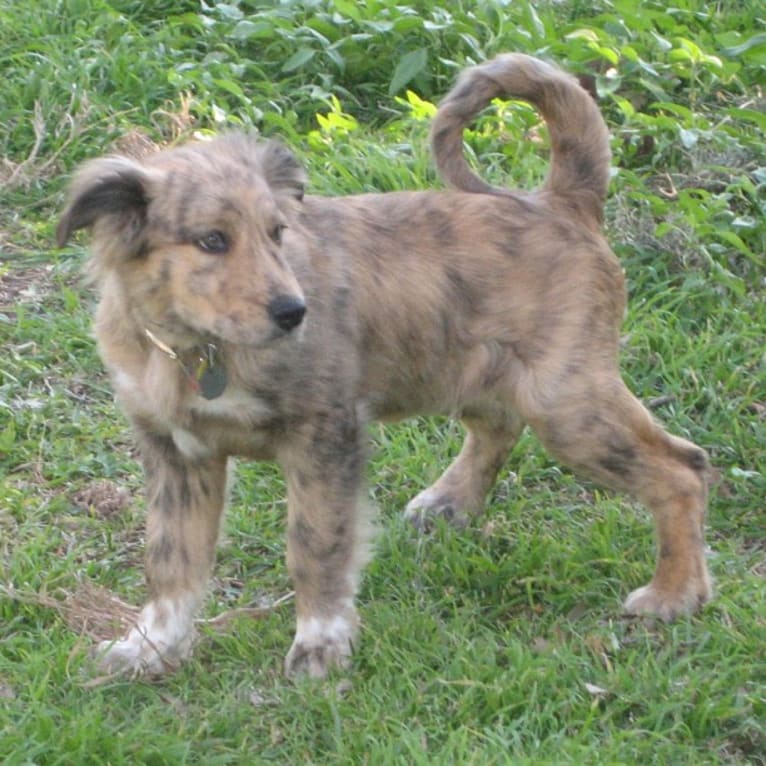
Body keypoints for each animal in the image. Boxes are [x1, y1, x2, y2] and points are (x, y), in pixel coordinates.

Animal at [58, 52, 712, 680]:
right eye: (212, 241)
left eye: (276, 233)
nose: (295, 313)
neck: (196, 347)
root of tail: (561, 204)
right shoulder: (176, 453)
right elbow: (170, 559)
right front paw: (150, 648)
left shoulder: (324, 436)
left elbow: (315, 544)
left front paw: (320, 644)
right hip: (467, 368)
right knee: (500, 426)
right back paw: (450, 501)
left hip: (568, 403)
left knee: (682, 468)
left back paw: (675, 594)